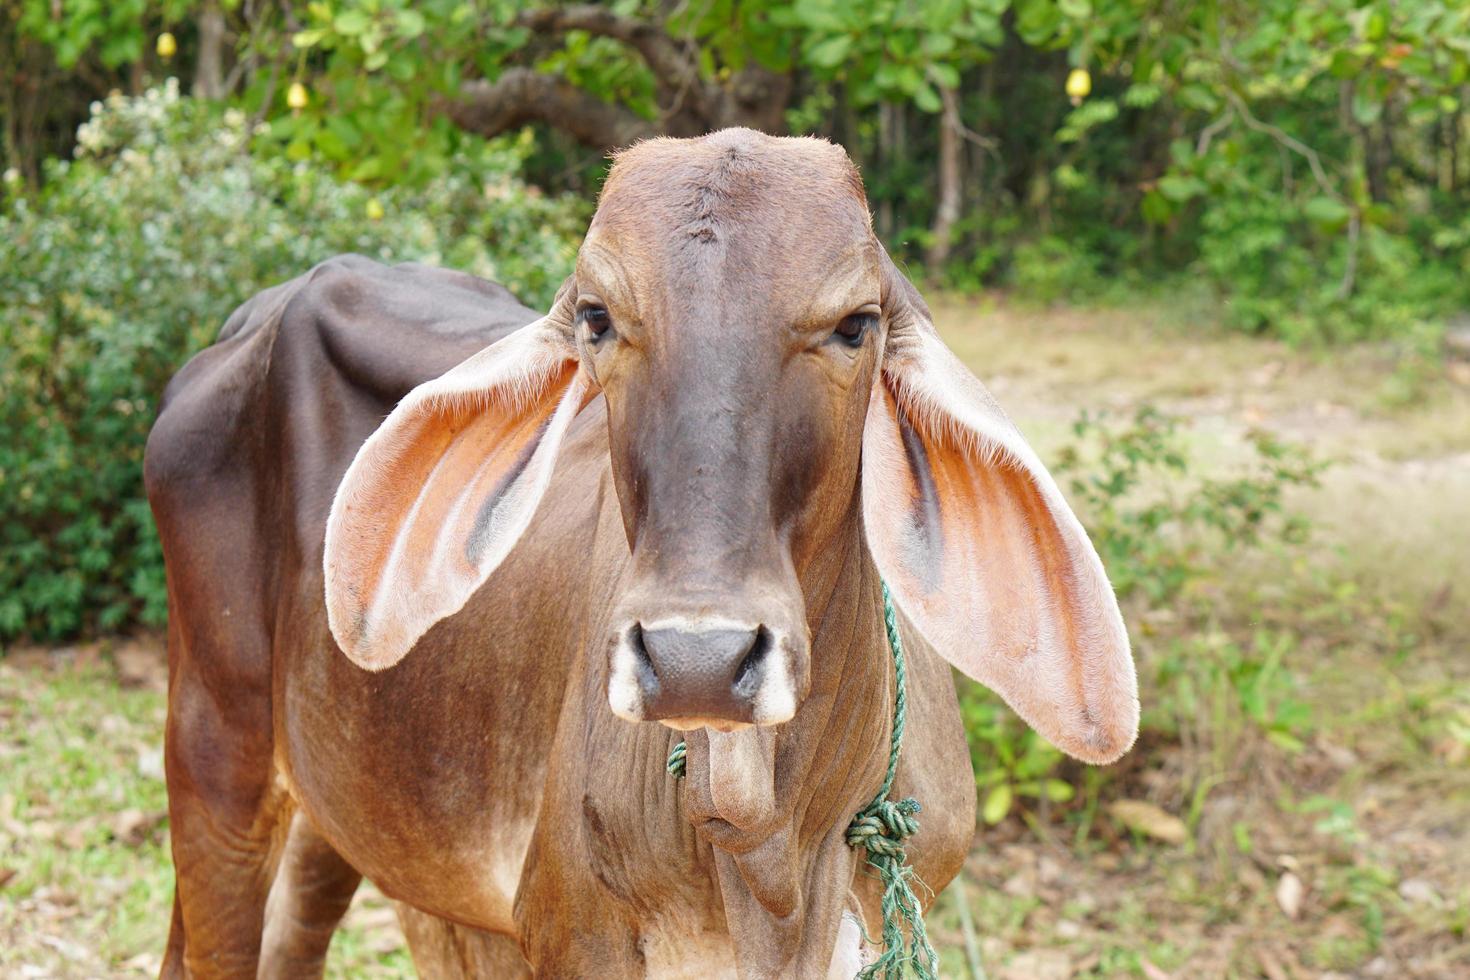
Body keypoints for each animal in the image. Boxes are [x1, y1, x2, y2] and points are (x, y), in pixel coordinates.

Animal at [146, 130, 1134, 980]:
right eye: (598, 317)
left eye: (856, 324)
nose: (698, 661)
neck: (776, 861)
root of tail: (252, 318)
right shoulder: (571, 933)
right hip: (215, 750)